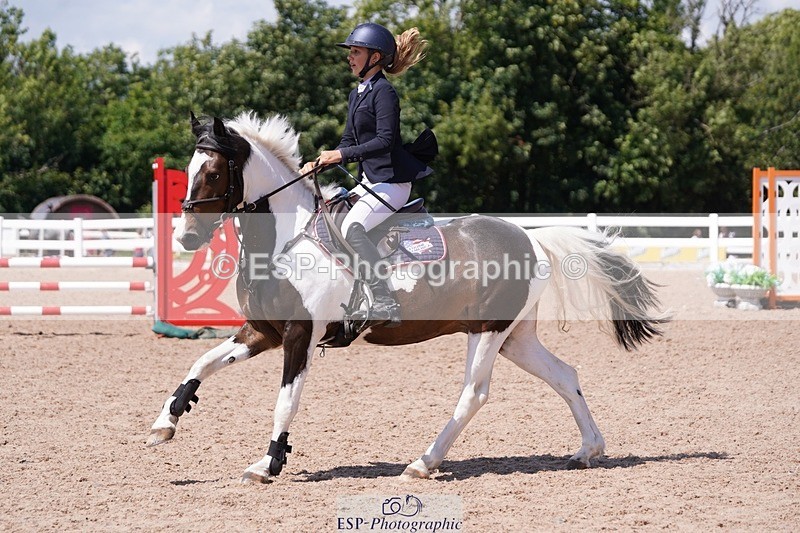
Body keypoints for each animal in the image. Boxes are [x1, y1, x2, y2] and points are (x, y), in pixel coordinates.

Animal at [147, 111, 667, 483]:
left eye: (214, 172)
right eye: (189, 170)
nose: (187, 237)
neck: (283, 241)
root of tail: (532, 238)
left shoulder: (298, 335)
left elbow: (286, 401)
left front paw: (268, 464)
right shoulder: (261, 332)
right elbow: (200, 363)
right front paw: (164, 425)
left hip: (487, 332)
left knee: (474, 394)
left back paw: (423, 462)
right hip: (515, 336)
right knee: (564, 375)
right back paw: (588, 449)